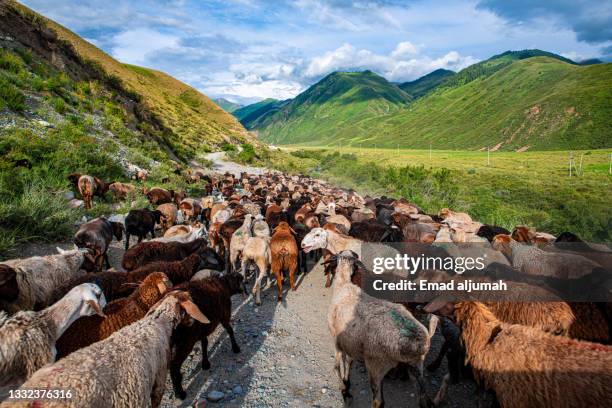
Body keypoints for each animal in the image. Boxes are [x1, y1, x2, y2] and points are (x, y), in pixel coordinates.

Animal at [169, 272, 245, 400]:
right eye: (241, 281)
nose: (245, 290)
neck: (224, 285)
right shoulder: (224, 316)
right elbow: (230, 331)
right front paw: (236, 348)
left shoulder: (202, 329)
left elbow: (205, 344)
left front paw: (205, 363)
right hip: (184, 343)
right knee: (174, 367)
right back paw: (180, 393)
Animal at [328, 252, 438, 408]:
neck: (343, 284)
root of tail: (418, 343)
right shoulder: (351, 342)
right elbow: (349, 361)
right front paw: (346, 385)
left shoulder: (336, 339)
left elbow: (337, 366)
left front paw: (344, 390)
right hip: (416, 367)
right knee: (424, 399)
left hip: (376, 366)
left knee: (379, 401)